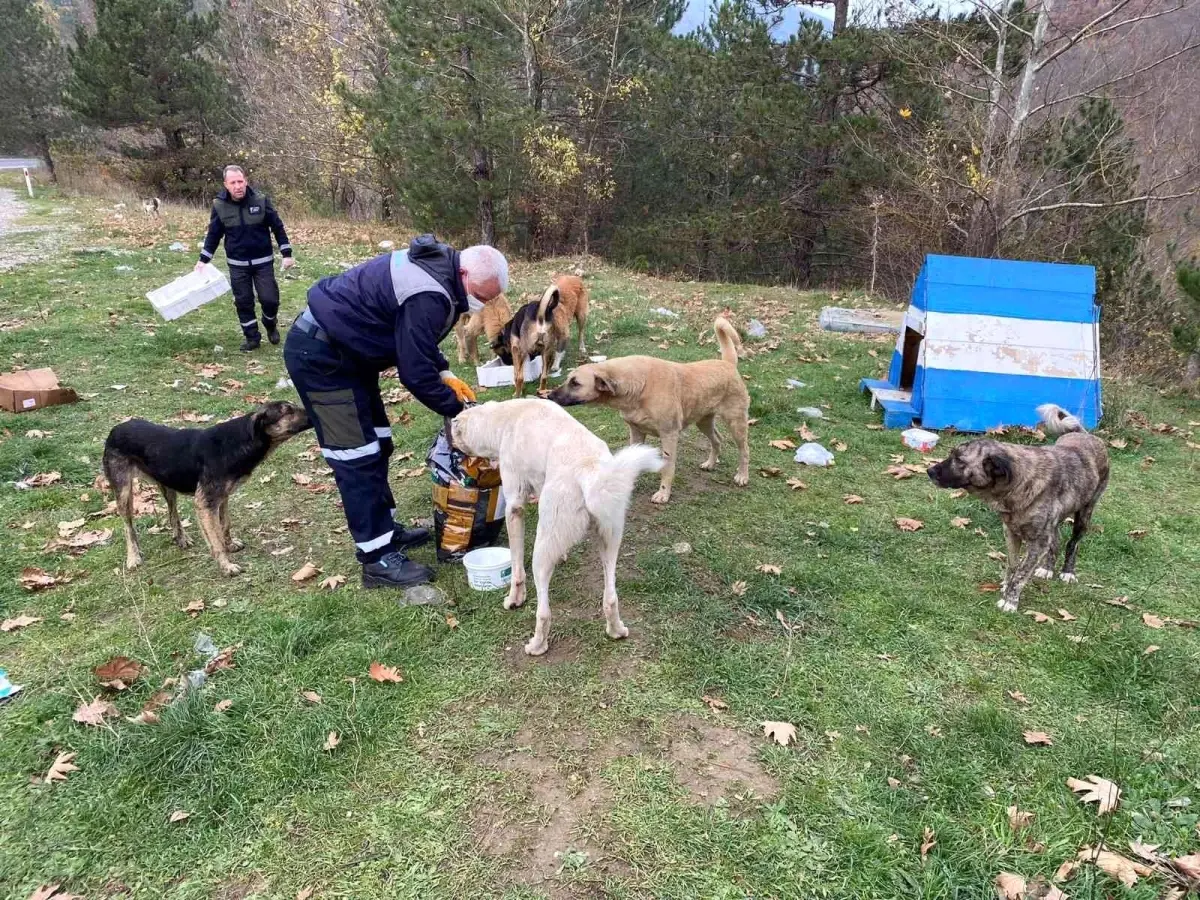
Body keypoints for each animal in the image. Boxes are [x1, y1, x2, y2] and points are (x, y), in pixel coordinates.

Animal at [103, 403, 312, 578]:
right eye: (288, 411)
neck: (238, 442)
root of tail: (116, 428)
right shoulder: (205, 503)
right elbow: (216, 540)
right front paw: (226, 566)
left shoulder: (222, 498)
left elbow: (225, 525)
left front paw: (230, 544)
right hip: (124, 492)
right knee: (128, 527)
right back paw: (133, 557)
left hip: (168, 485)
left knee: (173, 513)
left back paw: (181, 538)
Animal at [451, 400, 662, 657]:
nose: (450, 435)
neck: (505, 417)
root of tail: (588, 470)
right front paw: (562, 556)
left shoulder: (514, 507)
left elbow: (517, 569)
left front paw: (514, 600)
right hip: (610, 541)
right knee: (611, 598)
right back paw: (617, 631)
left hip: (541, 554)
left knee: (544, 611)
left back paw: (537, 645)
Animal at [549, 316, 748, 504]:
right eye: (568, 380)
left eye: (575, 383)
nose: (549, 396)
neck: (639, 386)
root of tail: (728, 364)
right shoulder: (636, 432)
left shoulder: (669, 435)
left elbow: (667, 467)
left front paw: (663, 494)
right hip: (704, 421)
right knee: (718, 440)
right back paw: (710, 463)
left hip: (736, 424)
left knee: (744, 451)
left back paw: (742, 476)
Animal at [926, 408, 1113, 614]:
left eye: (959, 460)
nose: (929, 471)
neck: (1019, 483)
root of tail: (1085, 434)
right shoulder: (1011, 533)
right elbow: (1013, 565)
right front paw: (1006, 586)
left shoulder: (1037, 543)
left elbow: (1022, 573)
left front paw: (1010, 600)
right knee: (1056, 540)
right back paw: (1047, 568)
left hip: (1084, 514)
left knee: (1073, 543)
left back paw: (1067, 572)